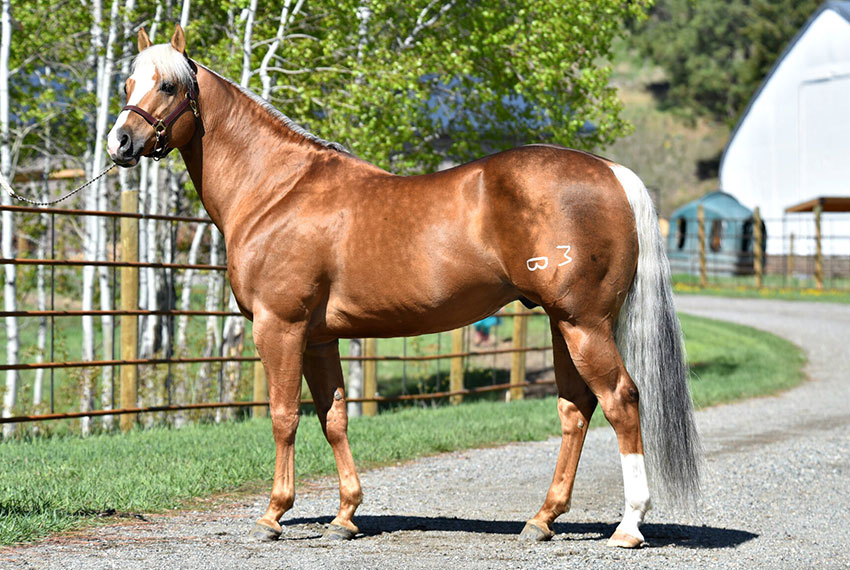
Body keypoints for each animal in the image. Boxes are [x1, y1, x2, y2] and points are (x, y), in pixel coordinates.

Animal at [107, 24, 701, 548]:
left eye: (168, 86)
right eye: (128, 83)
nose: (121, 143)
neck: (278, 190)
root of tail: (612, 173)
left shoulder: (281, 328)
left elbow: (283, 417)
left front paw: (273, 515)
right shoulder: (320, 337)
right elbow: (334, 418)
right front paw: (345, 516)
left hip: (584, 325)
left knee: (621, 400)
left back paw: (628, 527)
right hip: (564, 325)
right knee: (576, 408)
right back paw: (542, 520)